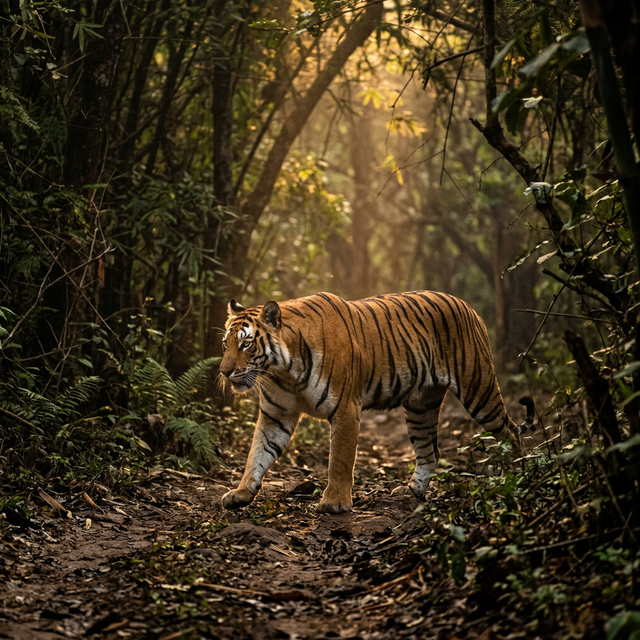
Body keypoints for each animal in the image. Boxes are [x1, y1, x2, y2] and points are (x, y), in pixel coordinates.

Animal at [218, 291, 534, 514]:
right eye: (225, 344)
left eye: (246, 344)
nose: (224, 371)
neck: (283, 371)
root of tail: (468, 307)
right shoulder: (276, 415)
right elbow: (258, 453)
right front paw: (241, 493)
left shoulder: (345, 408)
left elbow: (340, 460)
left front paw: (334, 503)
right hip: (421, 406)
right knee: (429, 451)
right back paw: (411, 492)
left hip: (478, 389)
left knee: (510, 432)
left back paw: (516, 481)